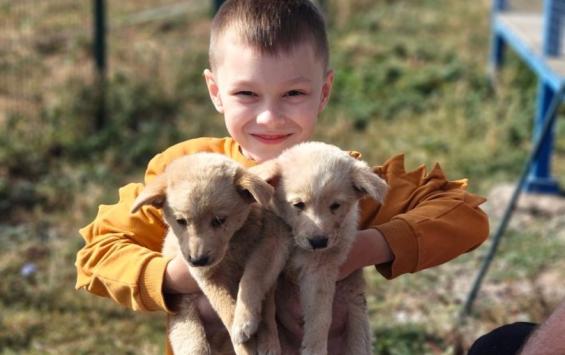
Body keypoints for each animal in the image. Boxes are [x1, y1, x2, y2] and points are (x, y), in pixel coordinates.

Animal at [130, 154, 288, 355]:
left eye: (219, 220)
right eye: (181, 221)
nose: (198, 260)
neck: (233, 244)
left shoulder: (268, 251)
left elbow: (254, 284)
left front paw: (253, 329)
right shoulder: (207, 277)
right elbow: (227, 310)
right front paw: (243, 340)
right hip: (187, 328)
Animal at [251, 143, 388, 355]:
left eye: (336, 206)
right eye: (298, 205)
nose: (318, 242)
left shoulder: (320, 269)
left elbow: (320, 318)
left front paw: (314, 348)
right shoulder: (272, 251)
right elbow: (266, 306)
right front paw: (268, 343)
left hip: (358, 329)